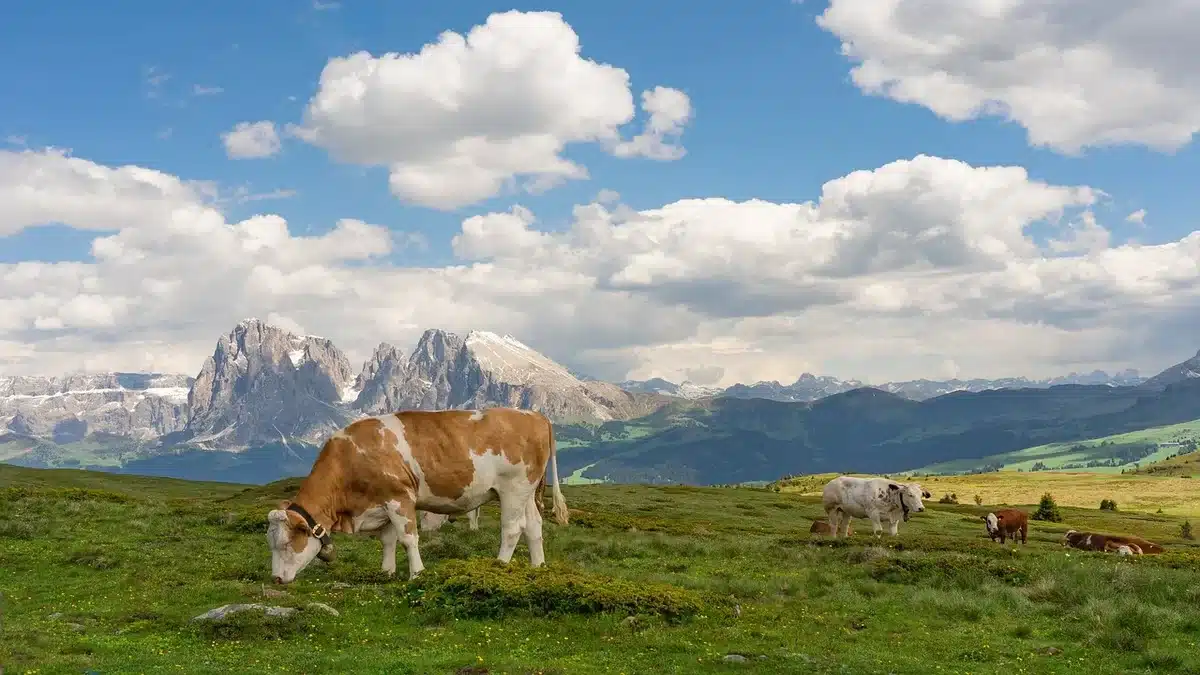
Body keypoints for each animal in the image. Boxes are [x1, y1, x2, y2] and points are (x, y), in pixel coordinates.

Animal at [265, 403, 564, 583]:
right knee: (534, 526)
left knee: (513, 529)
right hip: (526, 492)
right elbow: (387, 540)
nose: (276, 579)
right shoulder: (382, 503)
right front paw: (386, 572)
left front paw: (417, 574)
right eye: (270, 544)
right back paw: (538, 568)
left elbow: (408, 539)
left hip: (513, 488)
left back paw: (498, 566)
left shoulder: (399, 498)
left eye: (286, 544)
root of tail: (534, 415)